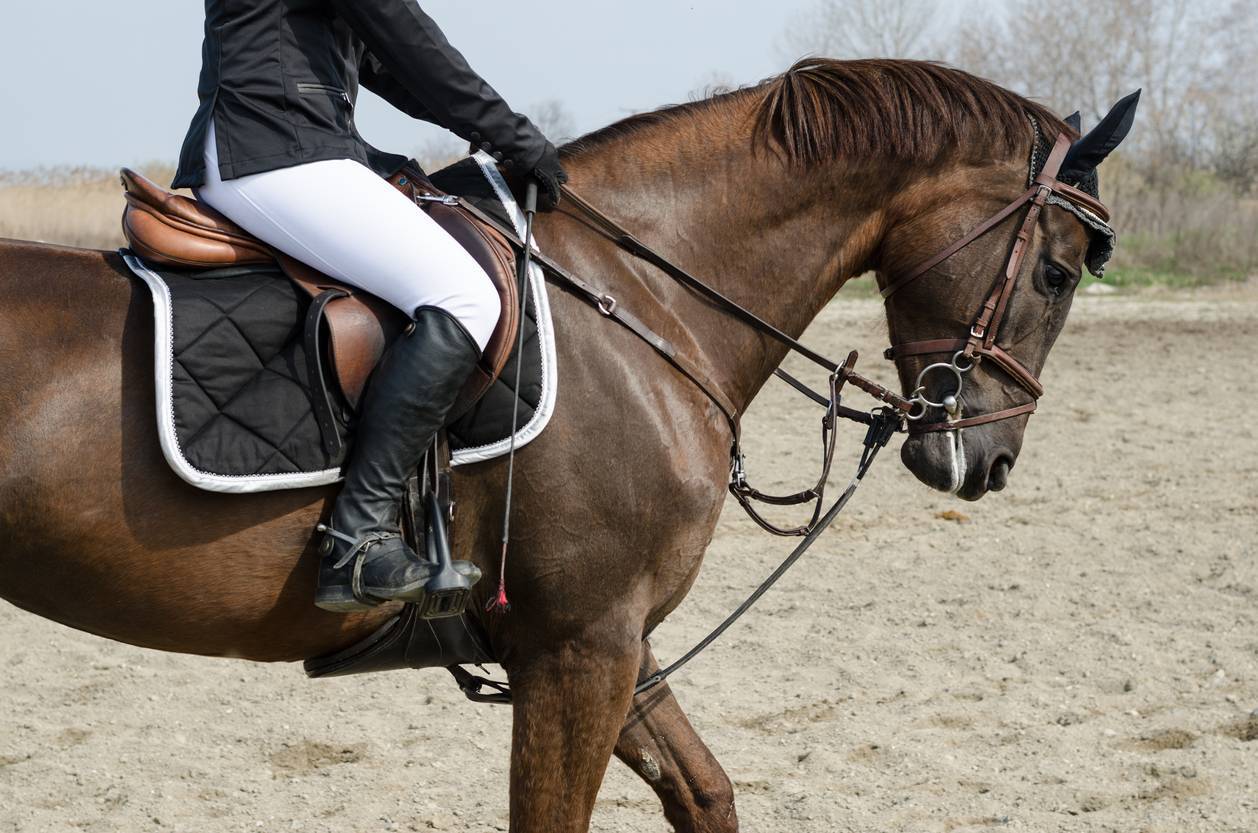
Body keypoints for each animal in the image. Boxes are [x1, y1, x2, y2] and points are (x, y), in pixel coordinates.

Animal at [0, 60, 1137, 833]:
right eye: (1057, 272)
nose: (982, 462)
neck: (642, 293)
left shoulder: (615, 639)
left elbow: (706, 792)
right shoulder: (578, 647)